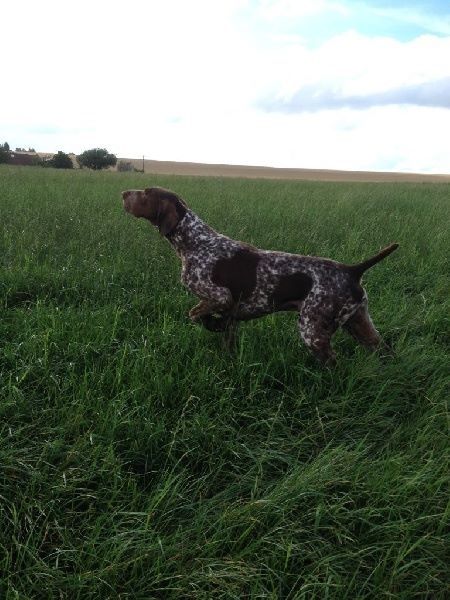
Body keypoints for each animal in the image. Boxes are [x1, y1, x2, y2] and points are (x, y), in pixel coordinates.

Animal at [122, 185, 398, 364]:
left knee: (333, 362)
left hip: (313, 330)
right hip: (360, 324)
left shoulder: (220, 297)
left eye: (146, 193)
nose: (123, 193)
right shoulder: (230, 312)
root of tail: (352, 269)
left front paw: (212, 324)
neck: (195, 242)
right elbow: (224, 335)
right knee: (385, 351)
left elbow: (195, 314)